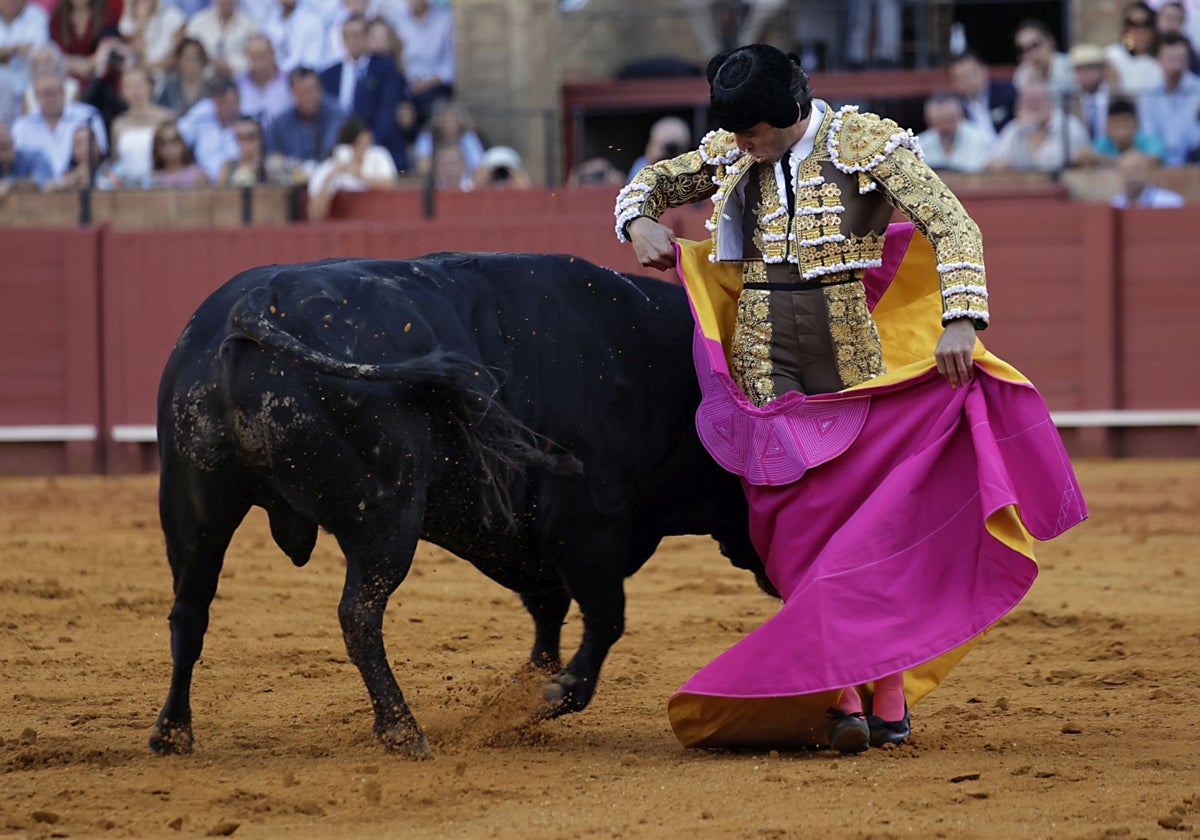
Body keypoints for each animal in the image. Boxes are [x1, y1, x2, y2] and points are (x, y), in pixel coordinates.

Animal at [150, 253, 768, 758]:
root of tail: (257, 301)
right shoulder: (588, 525)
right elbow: (603, 619)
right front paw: (551, 697)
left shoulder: (535, 539)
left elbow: (548, 616)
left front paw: (523, 696)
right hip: (386, 514)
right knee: (358, 615)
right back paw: (402, 730)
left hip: (192, 509)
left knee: (189, 611)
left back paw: (172, 733)